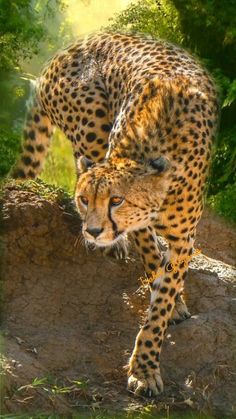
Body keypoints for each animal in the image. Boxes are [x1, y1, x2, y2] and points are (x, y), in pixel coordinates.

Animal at [12, 32, 219, 398]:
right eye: (84, 200)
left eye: (117, 201)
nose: (93, 231)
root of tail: (71, 47)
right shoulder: (142, 226)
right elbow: (151, 256)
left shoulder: (184, 238)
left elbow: (162, 298)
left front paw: (146, 363)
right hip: (91, 128)